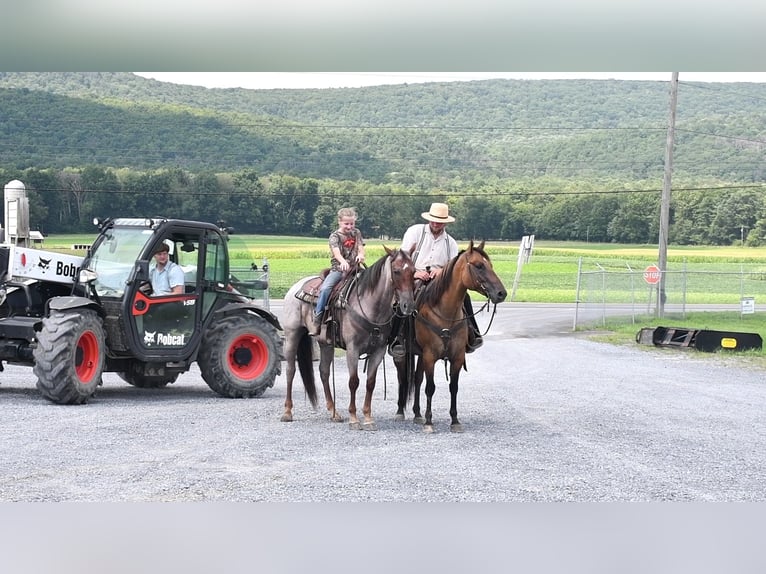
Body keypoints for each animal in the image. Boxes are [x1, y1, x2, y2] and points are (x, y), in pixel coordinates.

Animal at [280, 248, 414, 432]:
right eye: (396, 271)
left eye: (414, 271)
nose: (408, 305)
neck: (370, 305)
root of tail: (296, 286)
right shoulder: (352, 349)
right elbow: (353, 382)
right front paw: (354, 419)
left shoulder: (378, 351)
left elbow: (370, 383)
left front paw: (368, 418)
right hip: (292, 335)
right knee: (290, 370)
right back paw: (287, 412)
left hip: (325, 344)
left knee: (324, 372)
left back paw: (334, 412)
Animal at [396, 241, 510, 434]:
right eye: (479, 265)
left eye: (490, 265)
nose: (501, 294)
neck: (444, 313)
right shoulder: (430, 356)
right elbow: (430, 388)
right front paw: (429, 422)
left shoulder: (457, 357)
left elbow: (453, 387)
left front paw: (455, 420)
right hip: (404, 355)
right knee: (403, 379)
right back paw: (400, 412)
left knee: (417, 379)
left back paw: (417, 414)